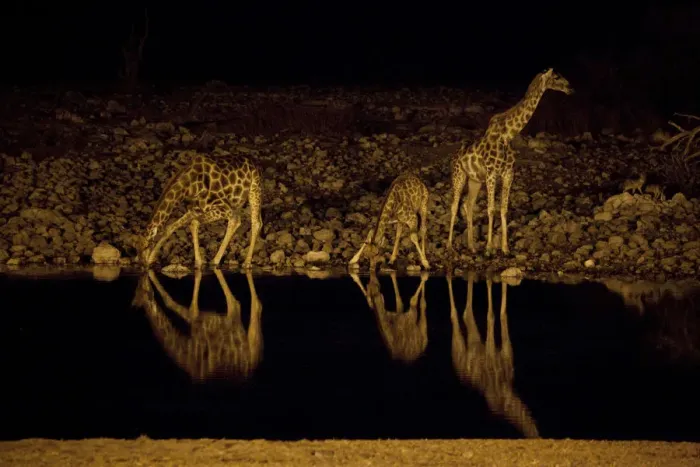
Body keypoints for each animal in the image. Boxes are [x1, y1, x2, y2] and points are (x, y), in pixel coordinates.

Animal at [132, 268, 263, 382]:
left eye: (140, 290)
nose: (142, 280)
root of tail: (250, 363)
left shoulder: (199, 322)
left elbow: (181, 306)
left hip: (233, 323)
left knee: (236, 305)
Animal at [447, 69, 574, 255]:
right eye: (556, 77)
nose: (570, 88)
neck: (508, 135)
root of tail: (454, 155)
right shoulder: (492, 174)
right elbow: (491, 209)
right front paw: (489, 248)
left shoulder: (508, 173)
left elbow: (504, 209)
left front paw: (505, 248)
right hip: (459, 176)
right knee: (454, 206)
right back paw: (450, 245)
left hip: (475, 180)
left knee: (468, 205)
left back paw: (472, 247)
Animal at [447, 271, 539, 438]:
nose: (536, 431)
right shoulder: (490, 353)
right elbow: (491, 315)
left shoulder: (506, 351)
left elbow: (503, 313)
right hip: (460, 348)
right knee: (456, 316)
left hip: (475, 343)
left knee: (467, 314)